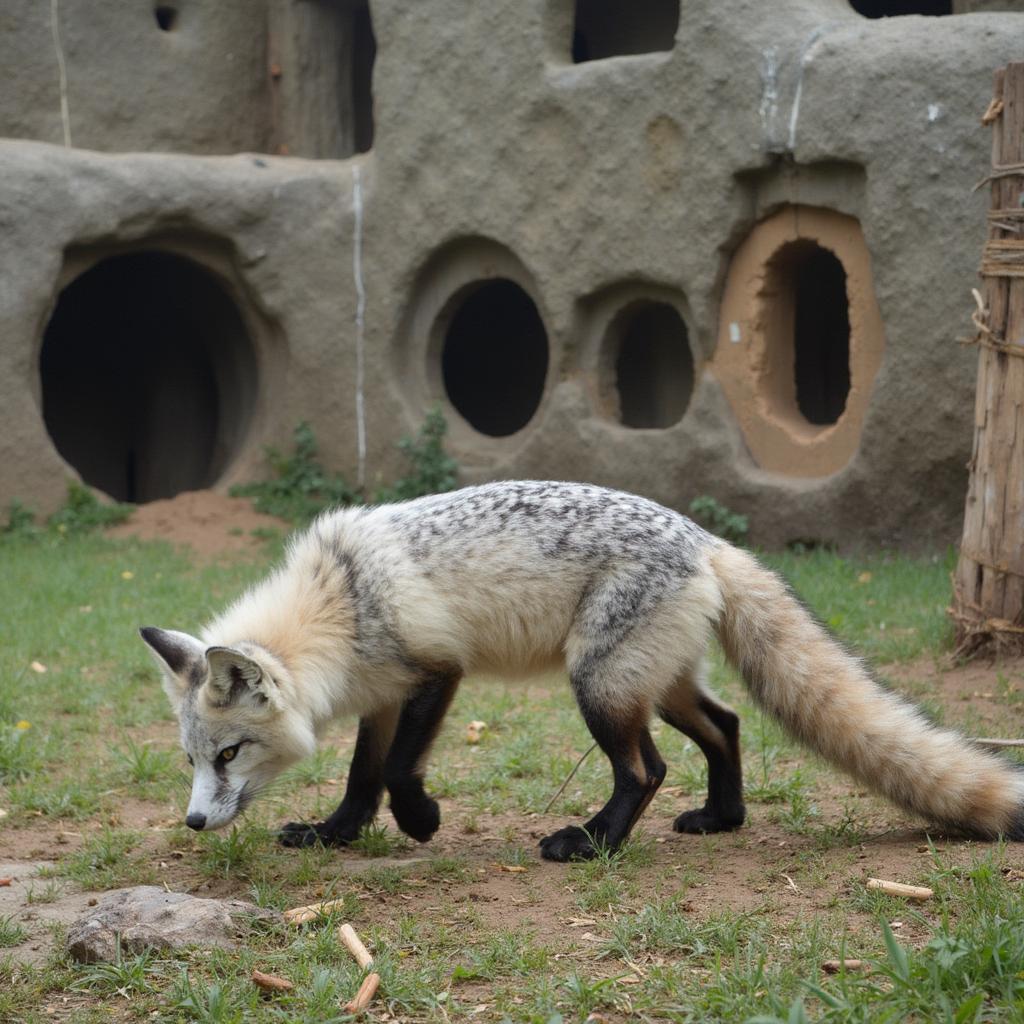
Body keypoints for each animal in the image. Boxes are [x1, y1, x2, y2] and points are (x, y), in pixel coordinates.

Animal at [142, 477, 1024, 856]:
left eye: (230, 754)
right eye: (191, 760)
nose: (193, 823)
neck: (342, 600)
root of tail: (707, 539)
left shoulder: (435, 673)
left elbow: (394, 772)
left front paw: (421, 822)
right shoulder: (382, 695)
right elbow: (363, 778)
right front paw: (333, 835)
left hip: (598, 688)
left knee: (646, 771)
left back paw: (595, 842)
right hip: (653, 687)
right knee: (727, 727)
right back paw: (723, 819)